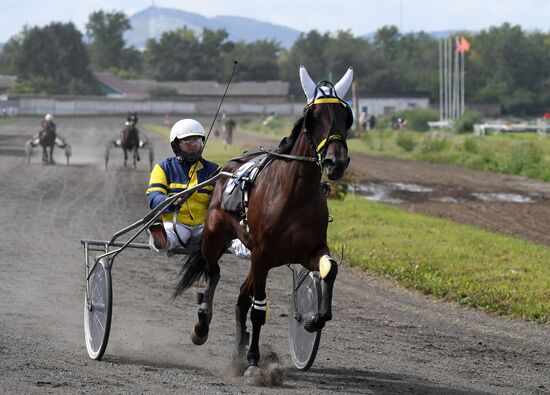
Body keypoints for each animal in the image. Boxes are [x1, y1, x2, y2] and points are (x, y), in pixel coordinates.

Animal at [174, 66, 354, 376]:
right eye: (314, 116)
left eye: (345, 116)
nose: (336, 162)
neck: (295, 194)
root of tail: (228, 168)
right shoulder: (262, 253)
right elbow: (259, 309)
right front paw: (254, 361)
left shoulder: (309, 250)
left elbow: (329, 270)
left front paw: (313, 320)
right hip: (217, 237)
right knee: (213, 273)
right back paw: (203, 323)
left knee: (239, 298)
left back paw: (238, 350)